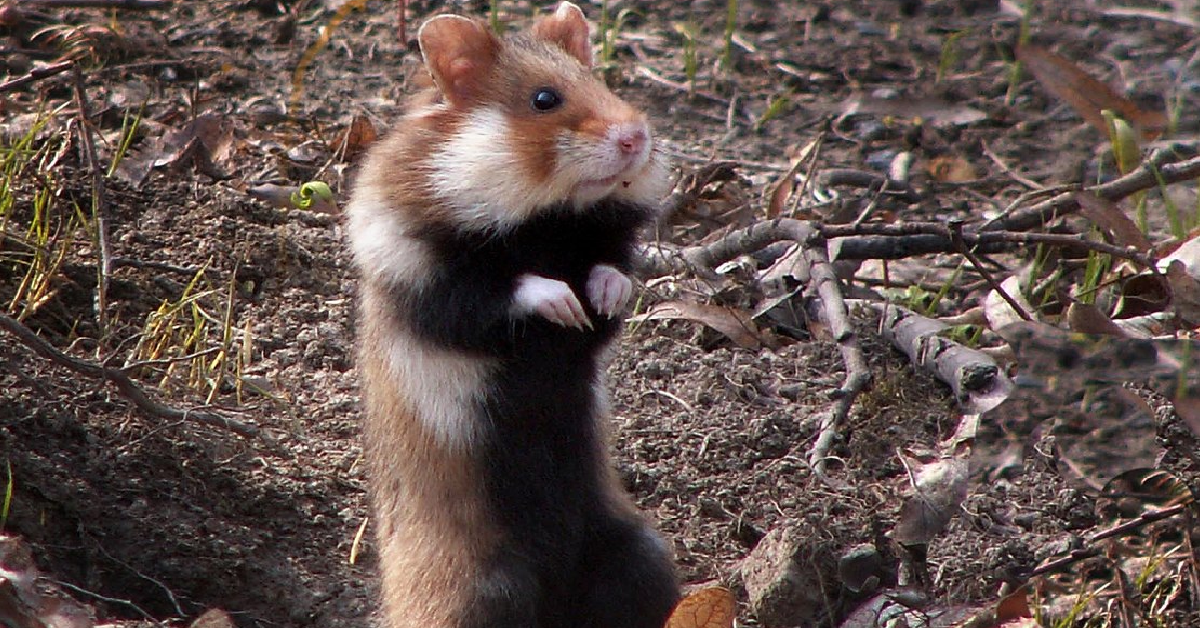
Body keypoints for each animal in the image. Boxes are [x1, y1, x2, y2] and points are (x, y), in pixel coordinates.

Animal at [345, 3, 680, 628]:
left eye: (601, 81)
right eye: (544, 99)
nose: (637, 137)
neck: (542, 218)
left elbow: (611, 273)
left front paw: (602, 293)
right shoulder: (429, 284)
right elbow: (506, 289)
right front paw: (565, 303)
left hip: (638, 555)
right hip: (480, 590)